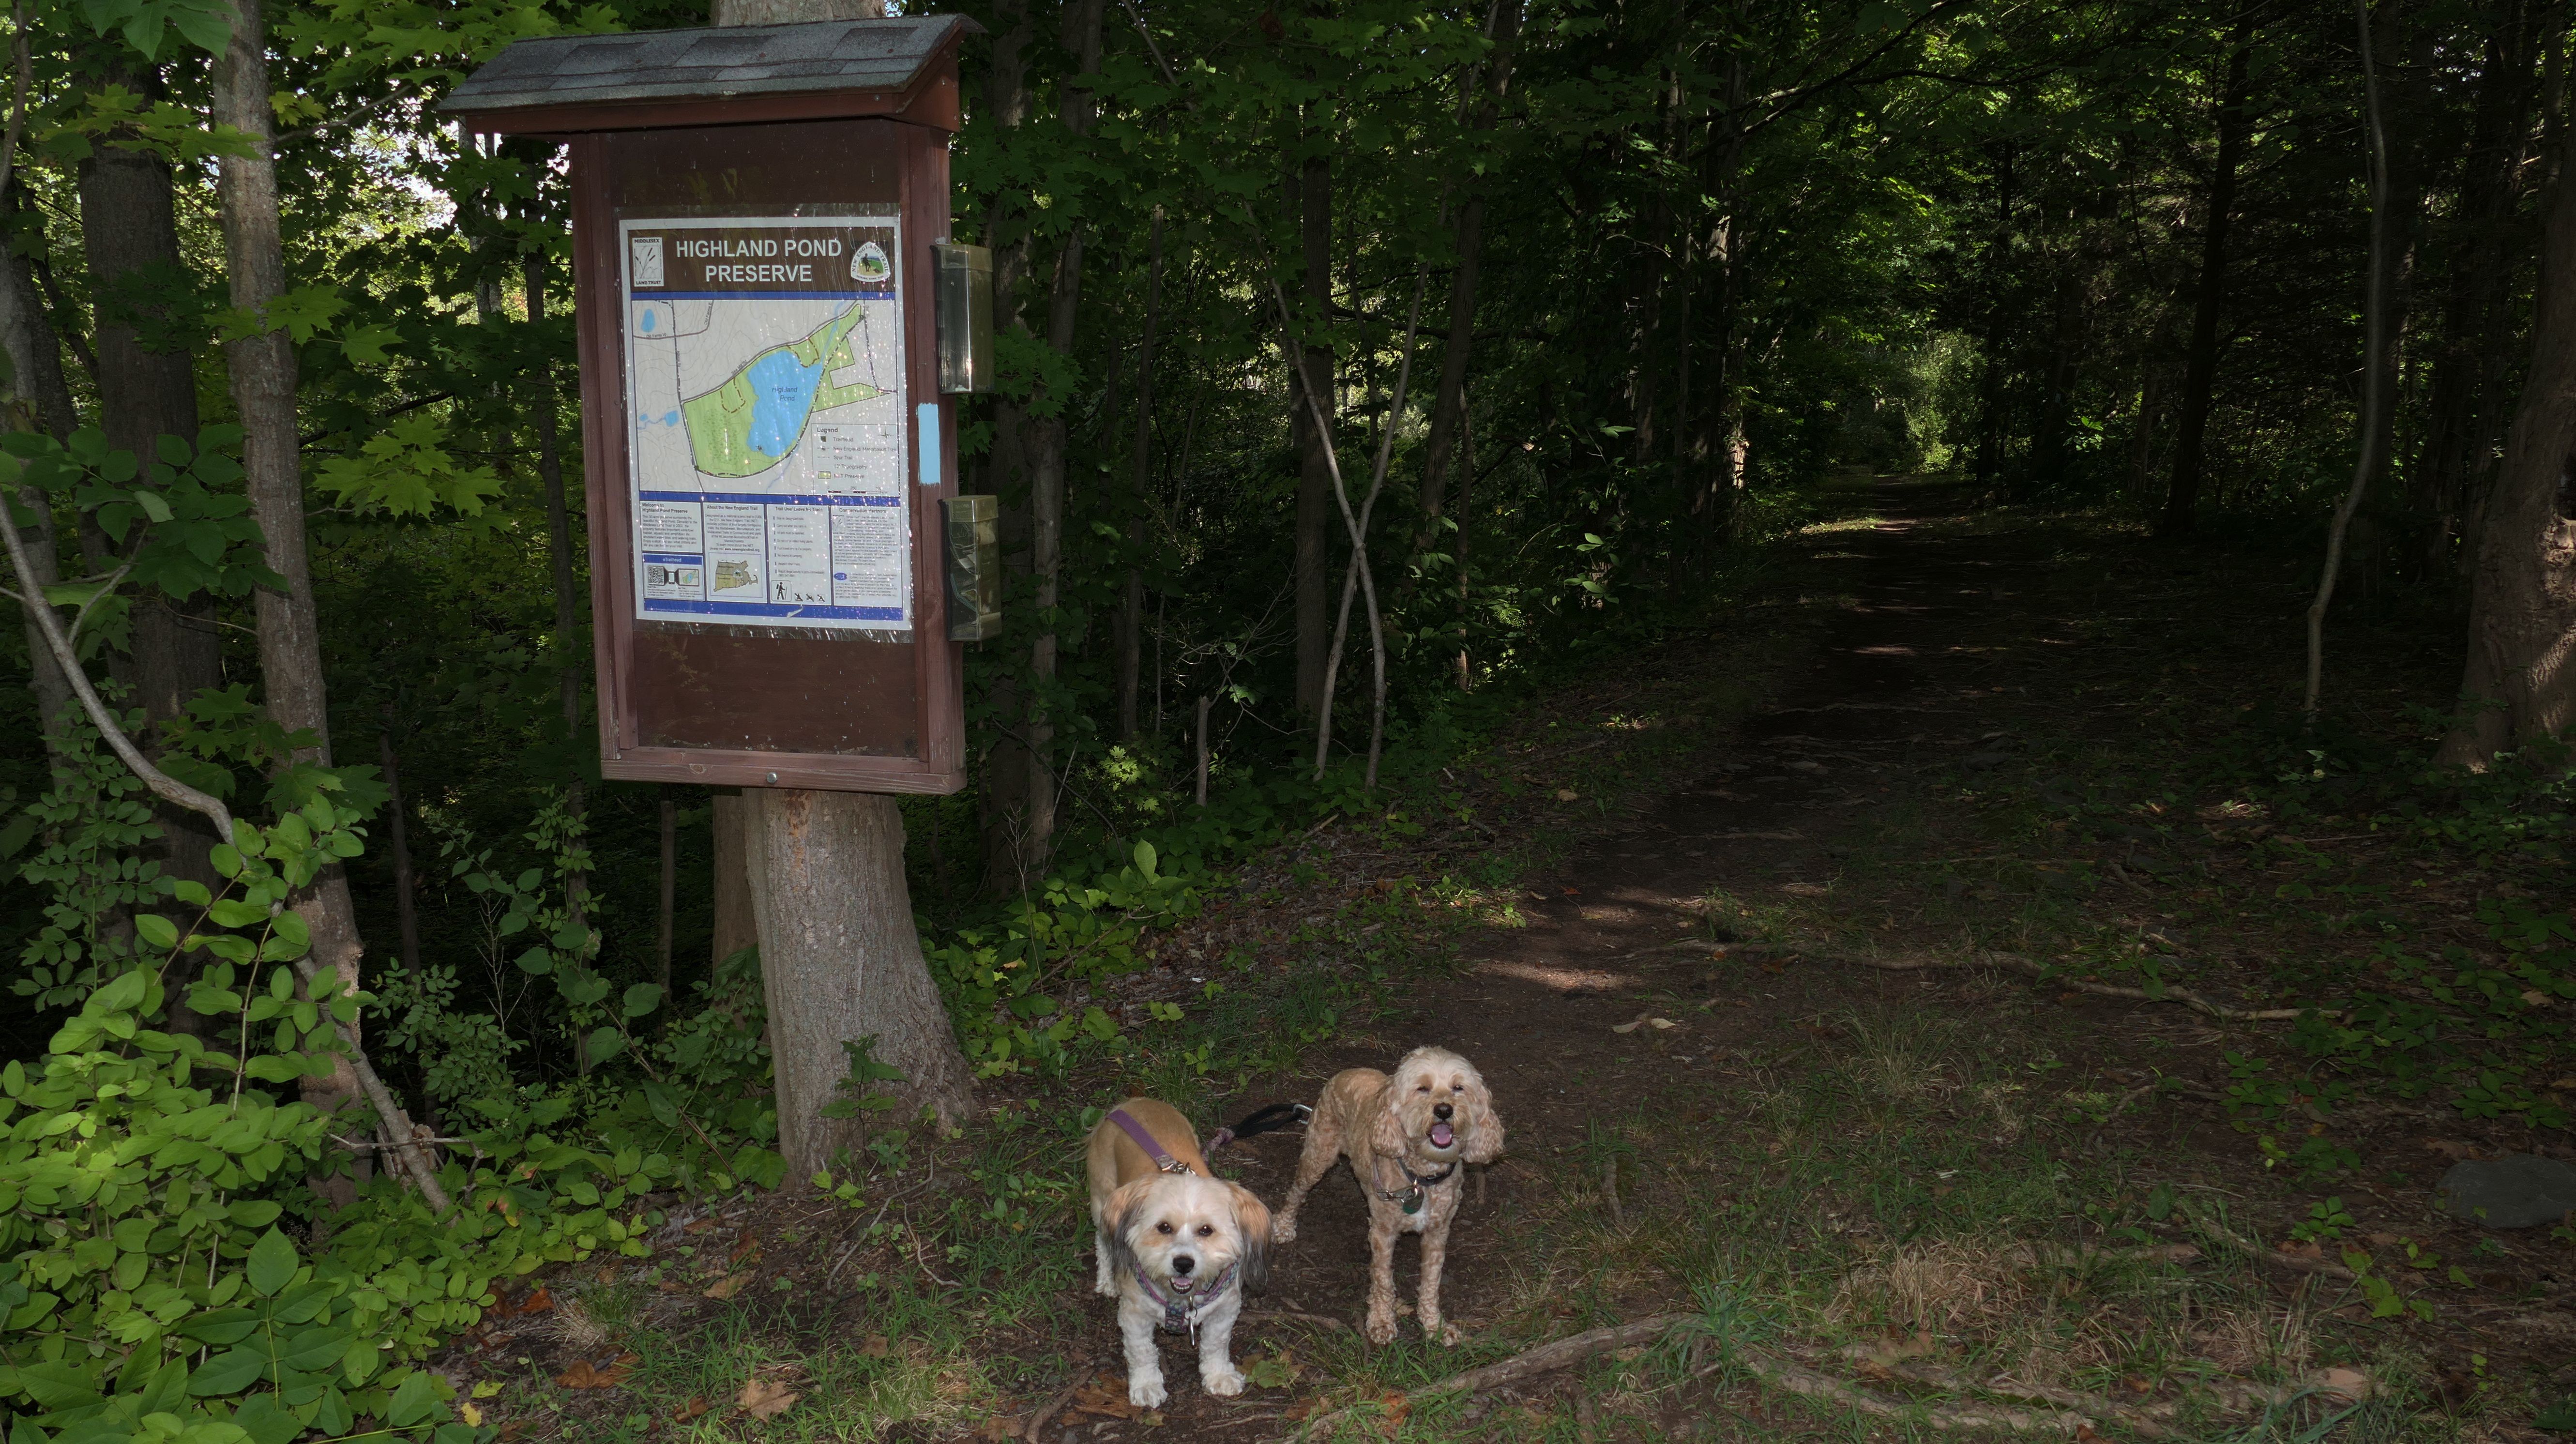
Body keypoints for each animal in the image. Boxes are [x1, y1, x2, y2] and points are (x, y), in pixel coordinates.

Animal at [1085, 1098, 1272, 1409]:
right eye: (1164, 1227)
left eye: (1207, 1230)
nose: (1183, 1263)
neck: (1183, 1300)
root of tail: (1129, 1103)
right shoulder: (1134, 1315)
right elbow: (1142, 1353)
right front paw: (1147, 1385)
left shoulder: (1225, 1311)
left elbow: (1216, 1345)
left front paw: (1219, 1376)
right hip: (1102, 1203)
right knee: (1103, 1242)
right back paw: (1107, 1281)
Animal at [1271, 1046, 1503, 1345]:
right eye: (1423, 1089)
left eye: (1458, 1088)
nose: (1444, 1110)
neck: (1421, 1177)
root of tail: (1346, 1072)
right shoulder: (1383, 1233)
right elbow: (1382, 1279)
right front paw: (1381, 1322)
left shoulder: (1438, 1233)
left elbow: (1431, 1282)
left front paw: (1434, 1324)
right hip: (1318, 1156)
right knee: (1297, 1191)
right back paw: (1284, 1225)